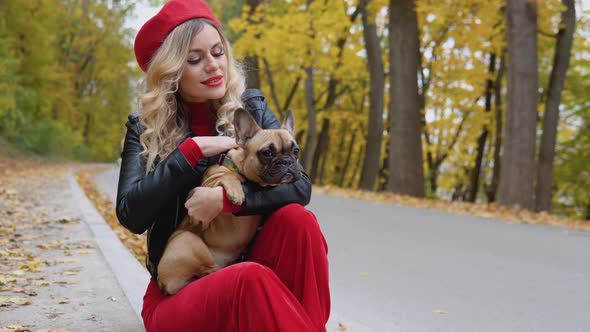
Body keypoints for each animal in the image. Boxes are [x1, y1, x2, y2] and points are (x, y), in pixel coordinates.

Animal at [157, 107, 300, 294]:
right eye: (267, 153)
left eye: (296, 151)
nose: (287, 161)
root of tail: (163, 283)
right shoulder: (206, 187)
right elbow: (227, 176)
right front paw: (236, 192)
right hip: (187, 241)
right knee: (210, 269)